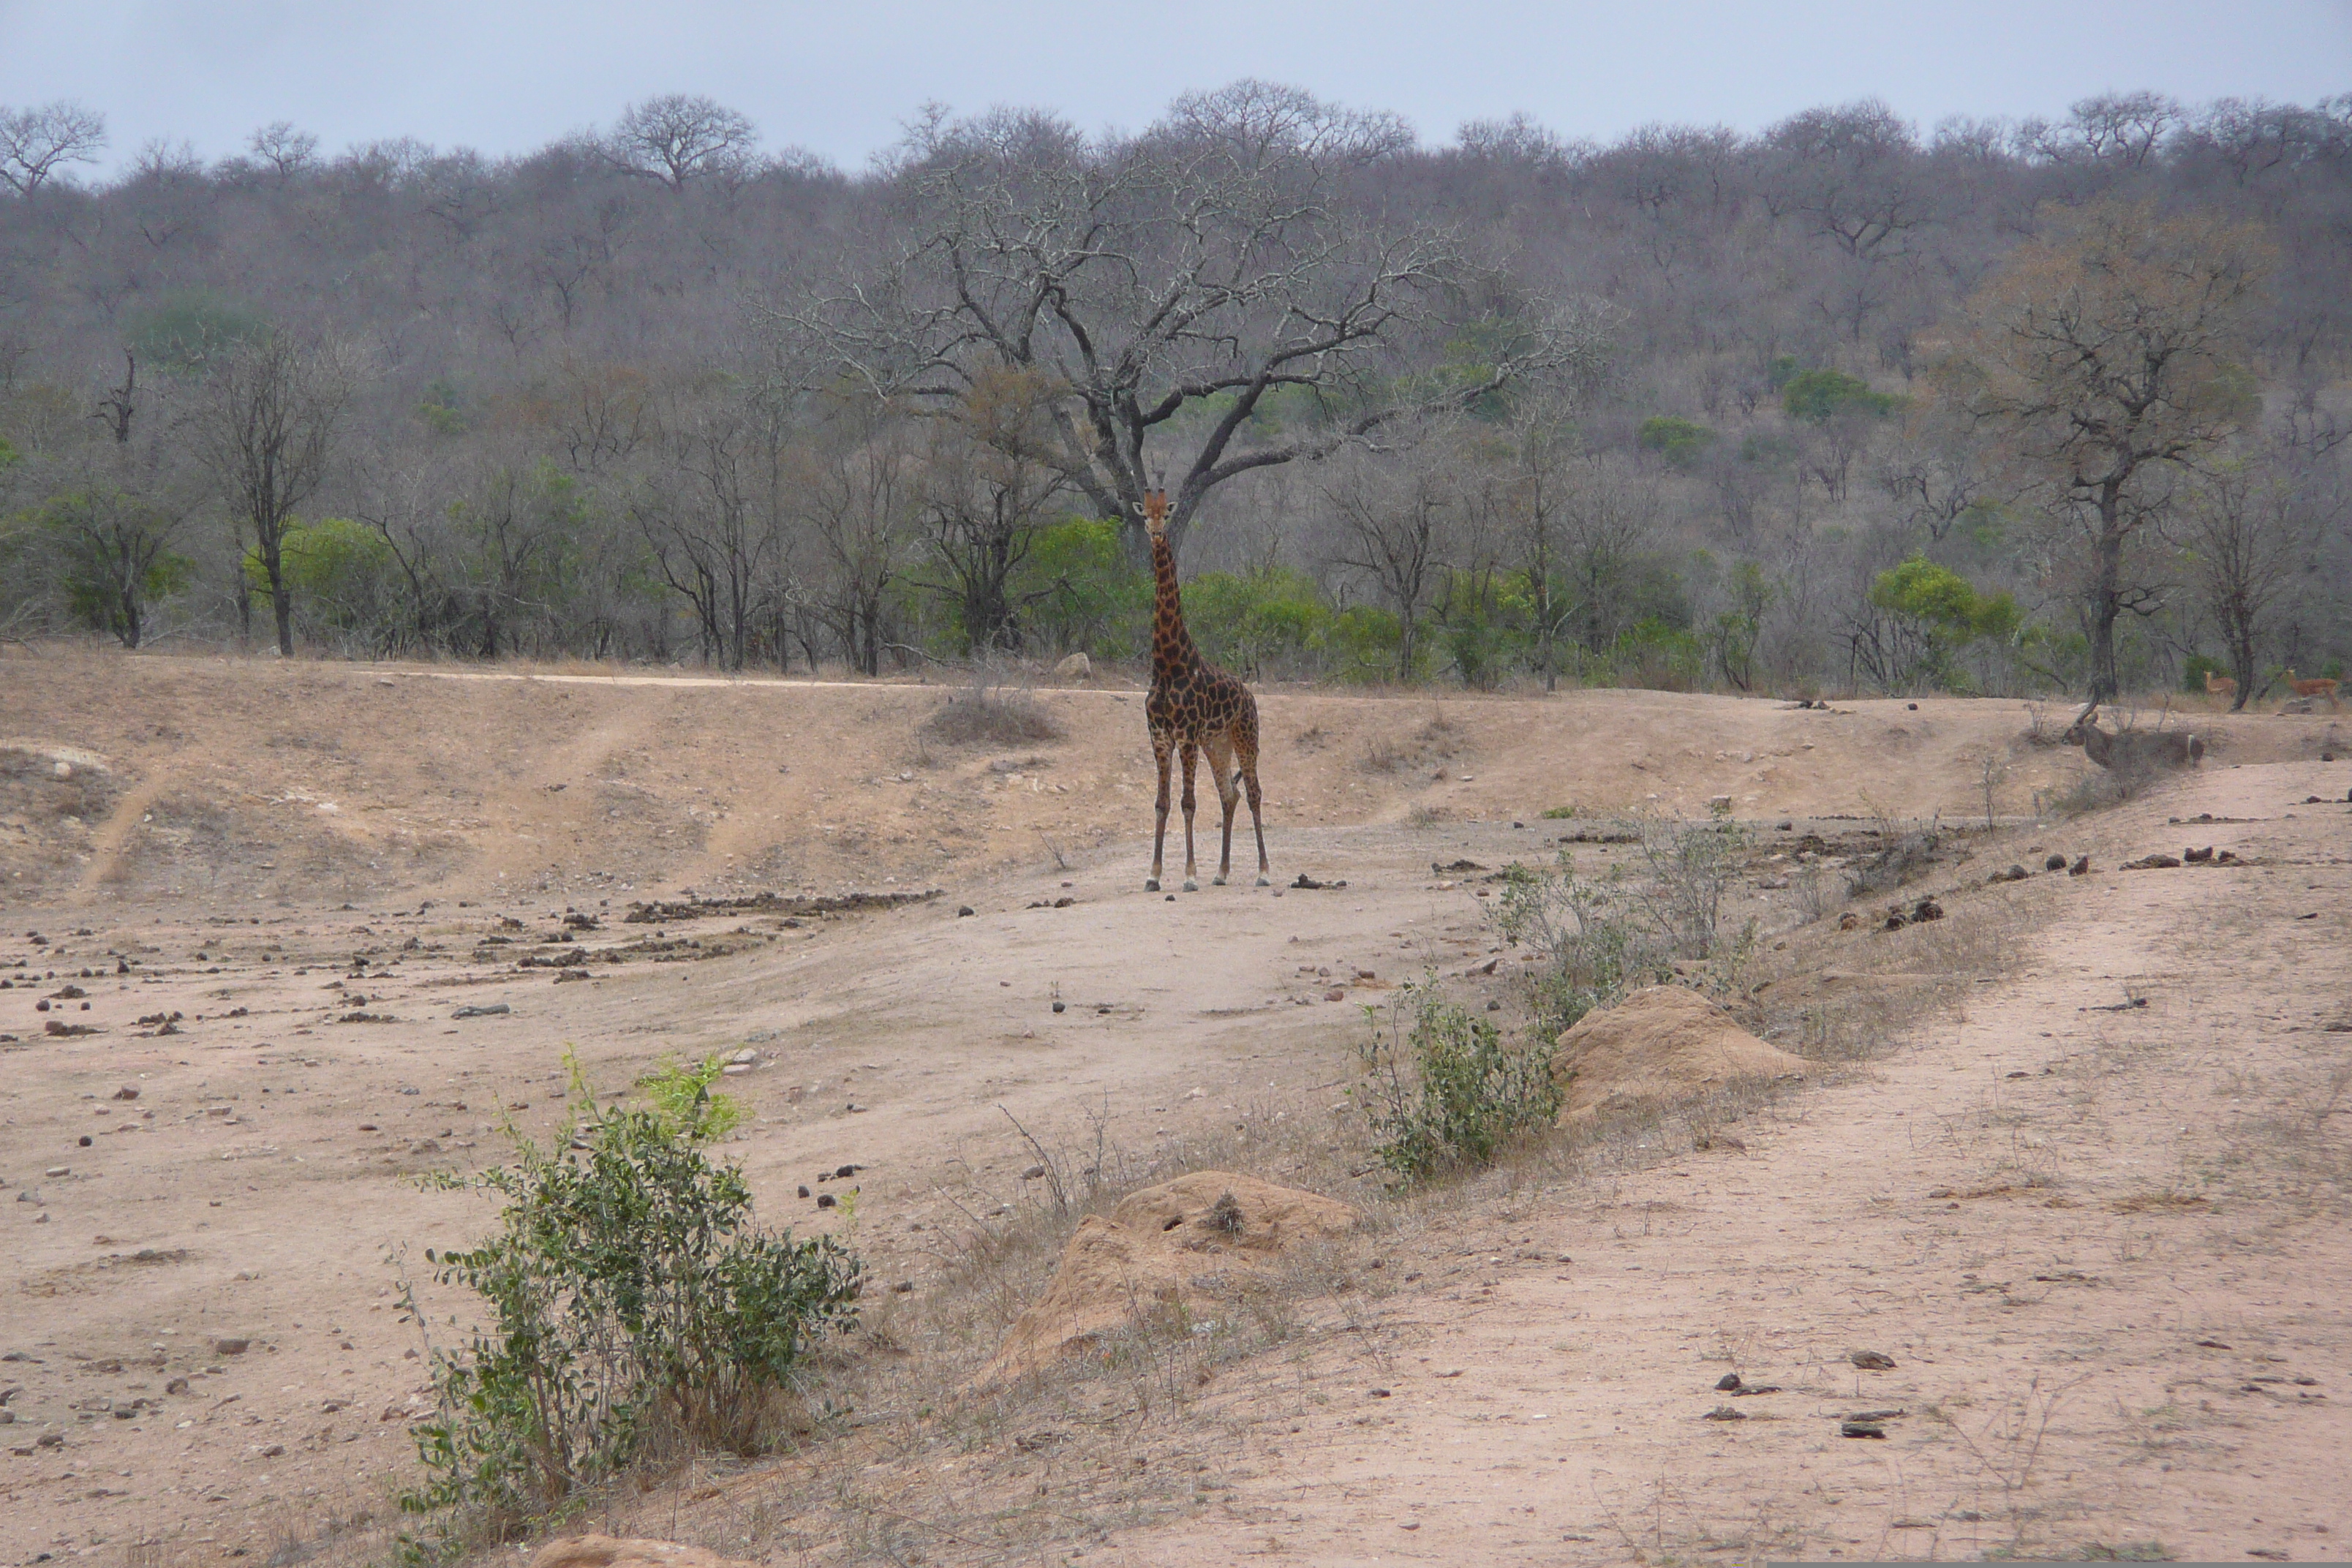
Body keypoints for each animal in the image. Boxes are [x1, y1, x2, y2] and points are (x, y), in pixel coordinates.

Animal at [1138, 491, 1270, 893]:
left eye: (1166, 514)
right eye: (1143, 514)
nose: (1156, 533)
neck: (1168, 664)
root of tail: (1249, 696)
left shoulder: (1186, 735)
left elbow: (1188, 803)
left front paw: (1189, 875)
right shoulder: (1160, 736)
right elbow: (1162, 803)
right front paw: (1153, 876)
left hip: (1245, 736)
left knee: (1254, 793)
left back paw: (1263, 871)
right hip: (1218, 743)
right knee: (1230, 794)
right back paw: (1222, 872)